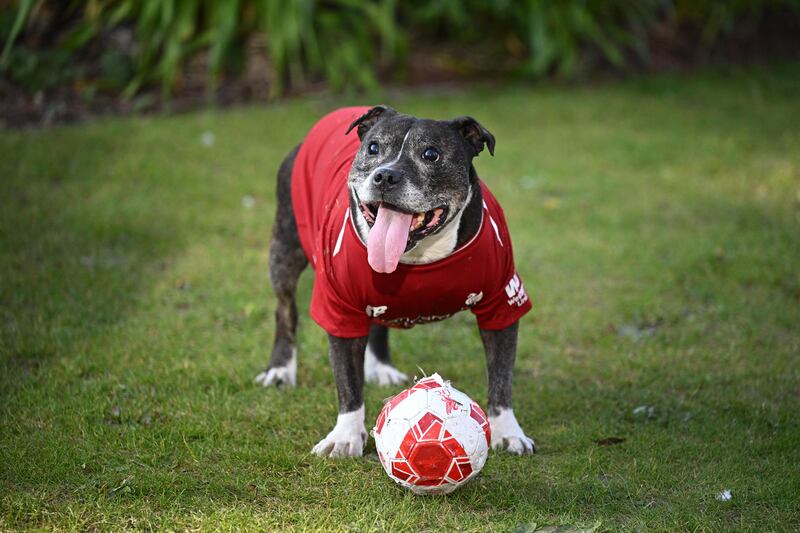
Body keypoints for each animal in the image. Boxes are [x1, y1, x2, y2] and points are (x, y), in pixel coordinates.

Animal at [256, 105, 536, 458]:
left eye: (431, 154)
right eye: (373, 148)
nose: (385, 176)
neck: (417, 255)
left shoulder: (501, 303)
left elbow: (501, 376)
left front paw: (508, 431)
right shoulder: (339, 309)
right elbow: (347, 381)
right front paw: (345, 436)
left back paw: (380, 367)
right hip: (285, 247)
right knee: (285, 310)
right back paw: (280, 369)